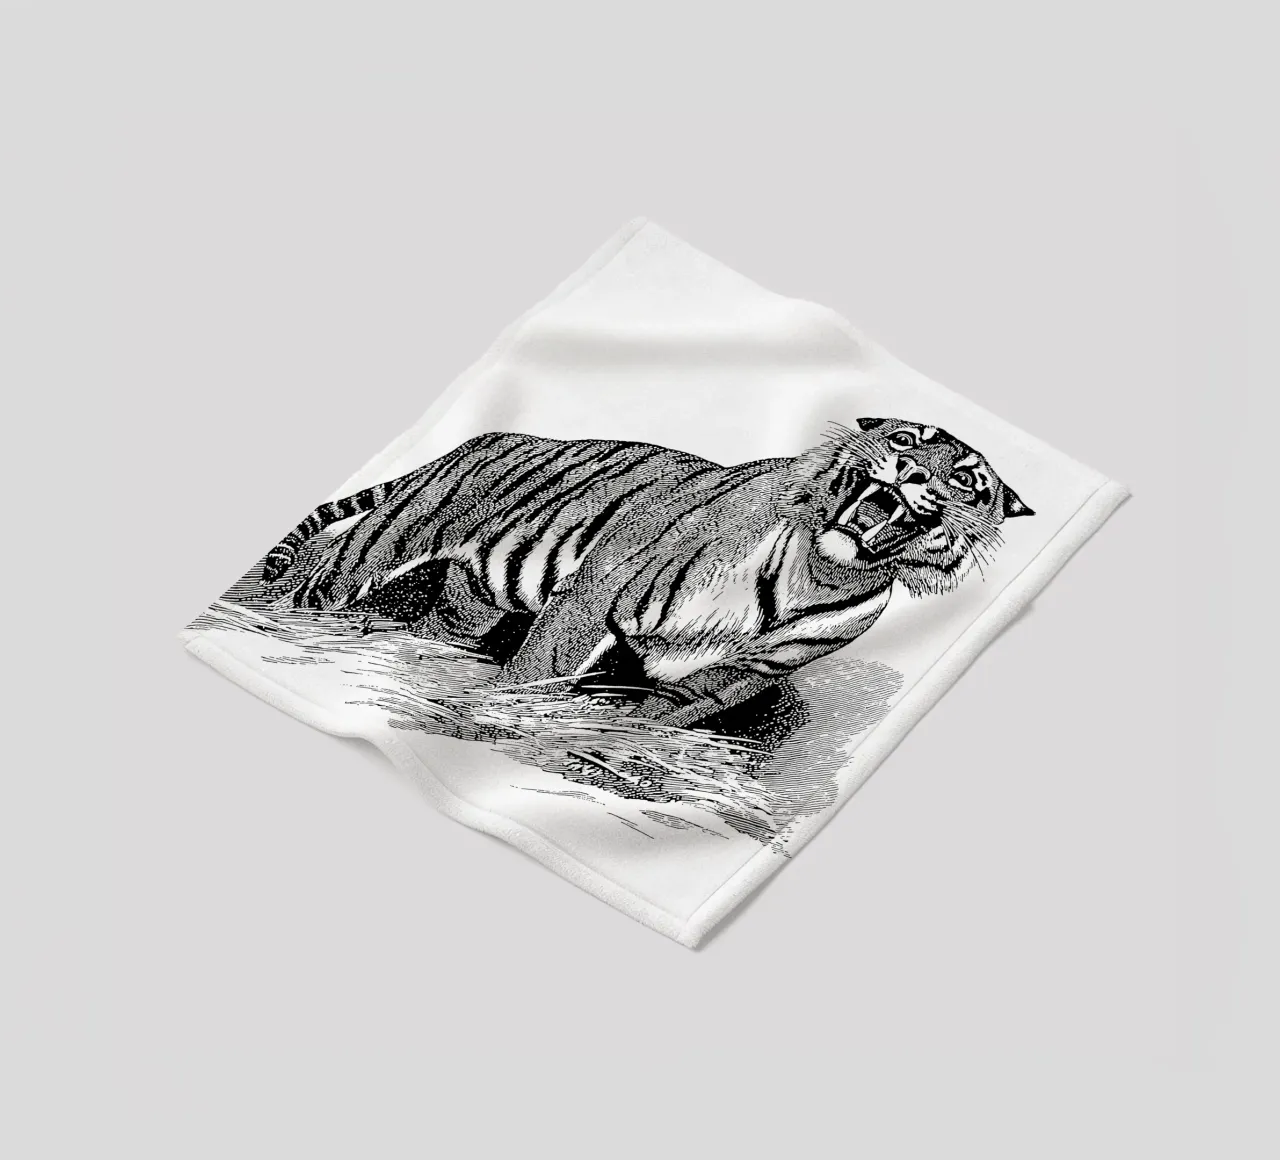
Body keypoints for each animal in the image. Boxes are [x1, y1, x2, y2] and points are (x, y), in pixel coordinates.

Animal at [261, 420, 1032, 727]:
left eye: (964, 480)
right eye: (906, 439)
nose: (910, 471)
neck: (821, 569)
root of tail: (479, 435)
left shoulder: (735, 676)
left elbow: (658, 718)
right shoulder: (596, 594)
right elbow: (533, 673)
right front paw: (492, 723)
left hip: (470, 598)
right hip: (378, 550)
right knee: (311, 589)